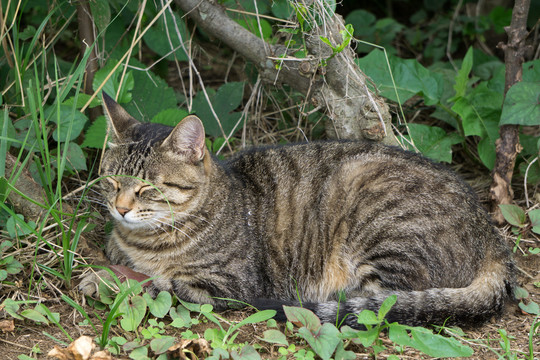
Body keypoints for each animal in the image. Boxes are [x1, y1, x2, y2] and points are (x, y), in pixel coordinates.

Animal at [80, 93, 516, 330]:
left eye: (147, 188)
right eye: (112, 180)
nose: (120, 208)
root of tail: (490, 233)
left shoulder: (225, 285)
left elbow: (155, 283)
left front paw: (105, 279)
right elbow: (122, 258)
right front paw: (109, 267)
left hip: (372, 212)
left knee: (385, 301)